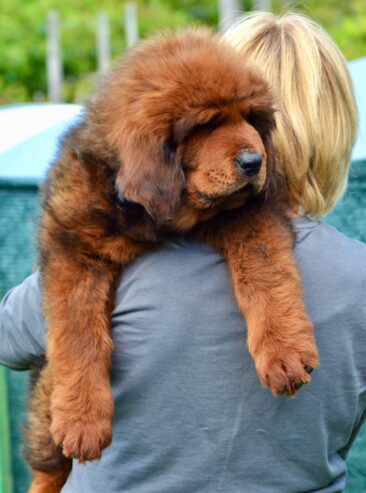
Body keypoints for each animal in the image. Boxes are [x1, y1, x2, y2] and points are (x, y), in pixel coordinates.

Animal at [25, 28, 318, 490]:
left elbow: (266, 271)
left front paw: (284, 350)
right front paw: (82, 418)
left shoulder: (248, 212)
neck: (163, 216)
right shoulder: (73, 243)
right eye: (206, 124)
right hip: (41, 405)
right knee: (47, 466)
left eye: (251, 118)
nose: (255, 162)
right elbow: (78, 330)